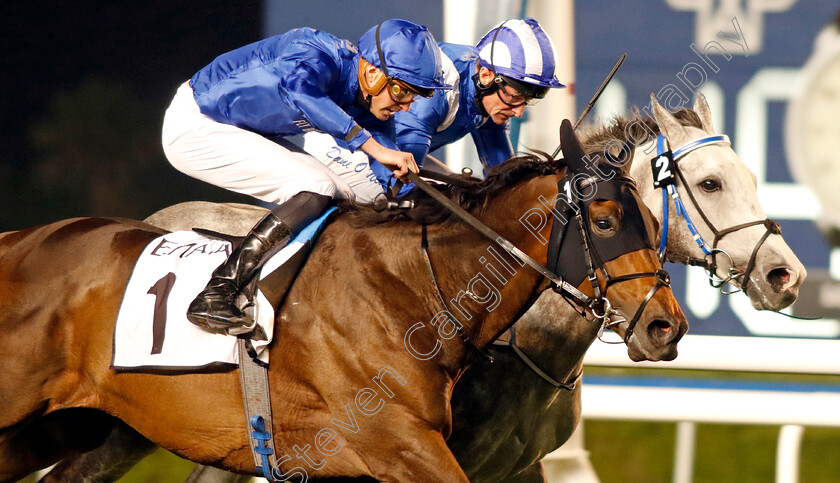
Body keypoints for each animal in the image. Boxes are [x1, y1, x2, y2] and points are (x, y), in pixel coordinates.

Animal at [0, 119, 684, 482]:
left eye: (653, 224)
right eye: (603, 222)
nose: (665, 327)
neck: (414, 289)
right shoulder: (399, 444)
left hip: (77, 426)